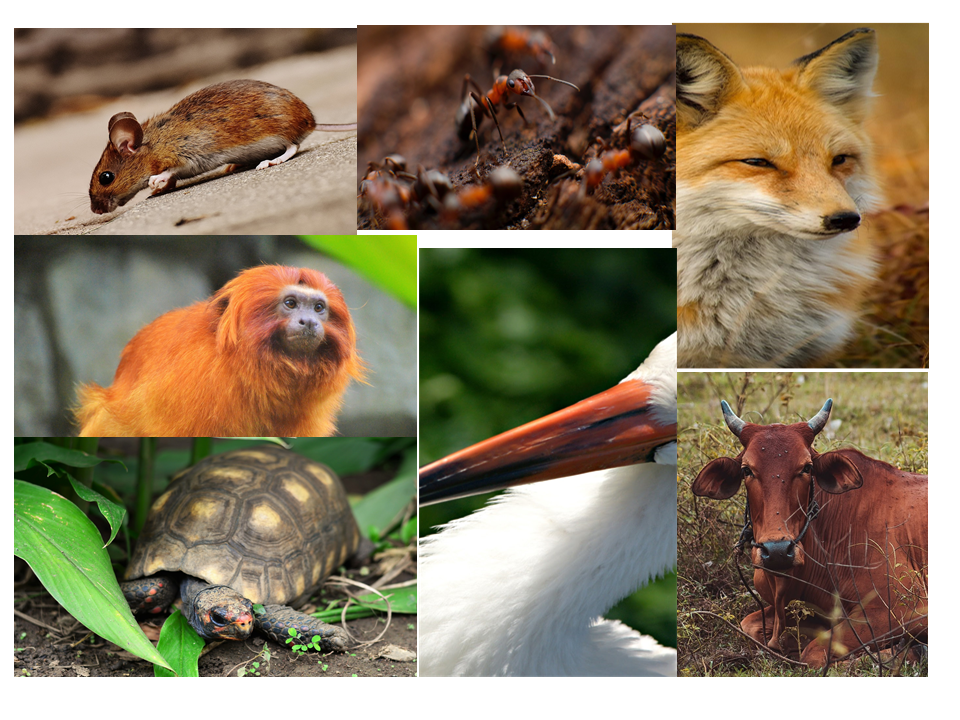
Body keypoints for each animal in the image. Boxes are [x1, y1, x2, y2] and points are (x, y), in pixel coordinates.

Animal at [692, 396, 928, 668]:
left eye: (806, 468)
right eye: (746, 470)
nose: (777, 551)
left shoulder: (904, 607)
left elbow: (814, 655)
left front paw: (901, 653)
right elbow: (750, 625)